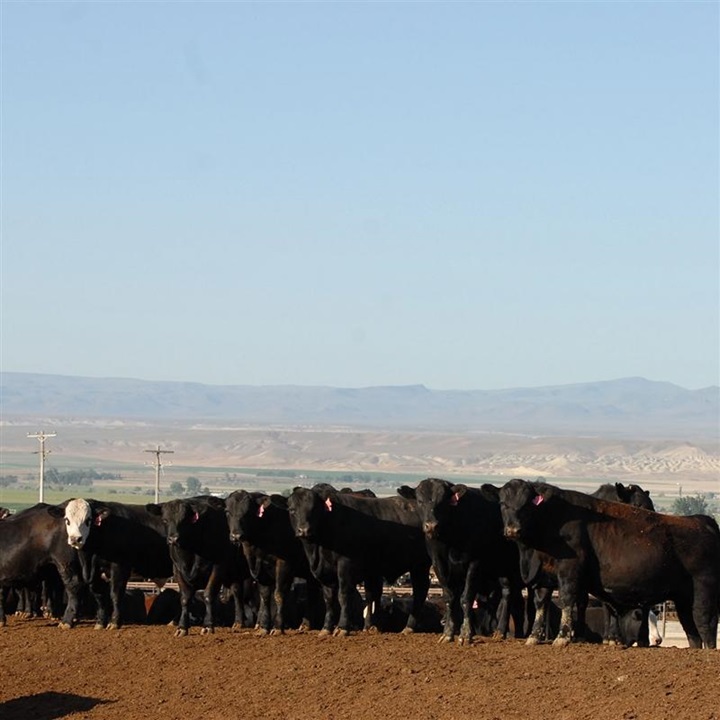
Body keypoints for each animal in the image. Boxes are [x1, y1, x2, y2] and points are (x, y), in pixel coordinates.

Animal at [145, 496, 252, 636]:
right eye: (165, 520)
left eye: (184, 520)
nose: (173, 539)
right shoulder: (178, 571)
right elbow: (185, 598)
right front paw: (182, 627)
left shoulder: (218, 567)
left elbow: (208, 595)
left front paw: (208, 626)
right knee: (236, 591)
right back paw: (238, 621)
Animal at [286, 484, 430, 636]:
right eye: (292, 510)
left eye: (313, 509)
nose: (304, 530)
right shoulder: (326, 573)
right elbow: (329, 600)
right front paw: (326, 628)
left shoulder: (345, 567)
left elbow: (343, 596)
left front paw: (342, 627)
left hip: (420, 565)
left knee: (420, 591)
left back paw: (409, 627)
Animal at [400, 480, 524, 644]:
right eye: (420, 501)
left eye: (443, 501)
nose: (431, 526)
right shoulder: (439, 564)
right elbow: (450, 597)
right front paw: (448, 633)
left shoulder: (474, 563)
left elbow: (466, 598)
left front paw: (466, 634)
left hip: (509, 567)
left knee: (508, 594)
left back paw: (501, 631)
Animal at [500, 480, 720, 648]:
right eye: (503, 504)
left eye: (527, 505)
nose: (513, 530)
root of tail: (702, 521)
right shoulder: (545, 575)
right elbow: (541, 603)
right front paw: (534, 637)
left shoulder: (570, 572)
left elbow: (567, 600)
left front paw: (563, 638)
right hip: (683, 599)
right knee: (693, 634)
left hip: (704, 594)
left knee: (706, 627)